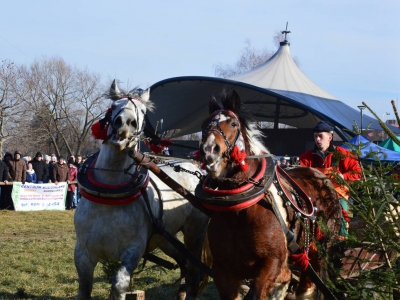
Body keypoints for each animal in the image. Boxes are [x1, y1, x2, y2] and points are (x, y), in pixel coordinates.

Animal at [75, 81, 211, 300]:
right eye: (113, 106)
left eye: (142, 111)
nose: (125, 124)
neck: (109, 195)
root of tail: (196, 169)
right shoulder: (83, 254)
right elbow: (84, 288)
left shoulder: (133, 249)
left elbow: (119, 283)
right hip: (166, 239)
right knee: (183, 264)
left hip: (195, 233)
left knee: (194, 272)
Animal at [198, 90, 342, 298]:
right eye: (203, 125)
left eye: (233, 124)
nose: (209, 150)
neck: (239, 210)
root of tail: (322, 177)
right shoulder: (223, 270)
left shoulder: (272, 263)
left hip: (319, 249)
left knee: (308, 285)